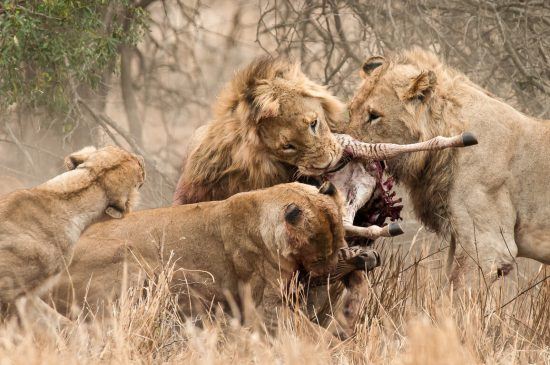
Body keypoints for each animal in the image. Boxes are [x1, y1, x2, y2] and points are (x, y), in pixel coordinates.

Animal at [49, 182, 348, 332]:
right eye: (320, 252)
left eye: (339, 243)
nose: (329, 270)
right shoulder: (263, 307)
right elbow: (315, 333)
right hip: (134, 262)